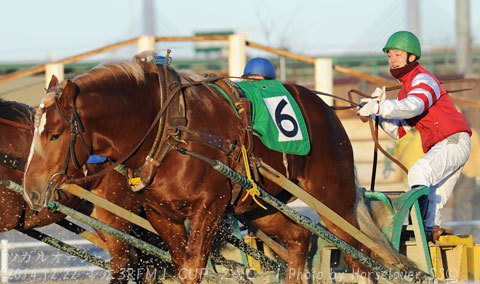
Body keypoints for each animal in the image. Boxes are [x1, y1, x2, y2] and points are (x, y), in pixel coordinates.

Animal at [21, 52, 412, 282]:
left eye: (54, 134)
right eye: (34, 130)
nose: (31, 190)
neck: (168, 127)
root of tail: (327, 111)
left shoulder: (208, 207)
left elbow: (193, 270)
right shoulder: (162, 215)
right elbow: (181, 268)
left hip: (334, 202)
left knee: (360, 257)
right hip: (260, 206)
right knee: (300, 238)